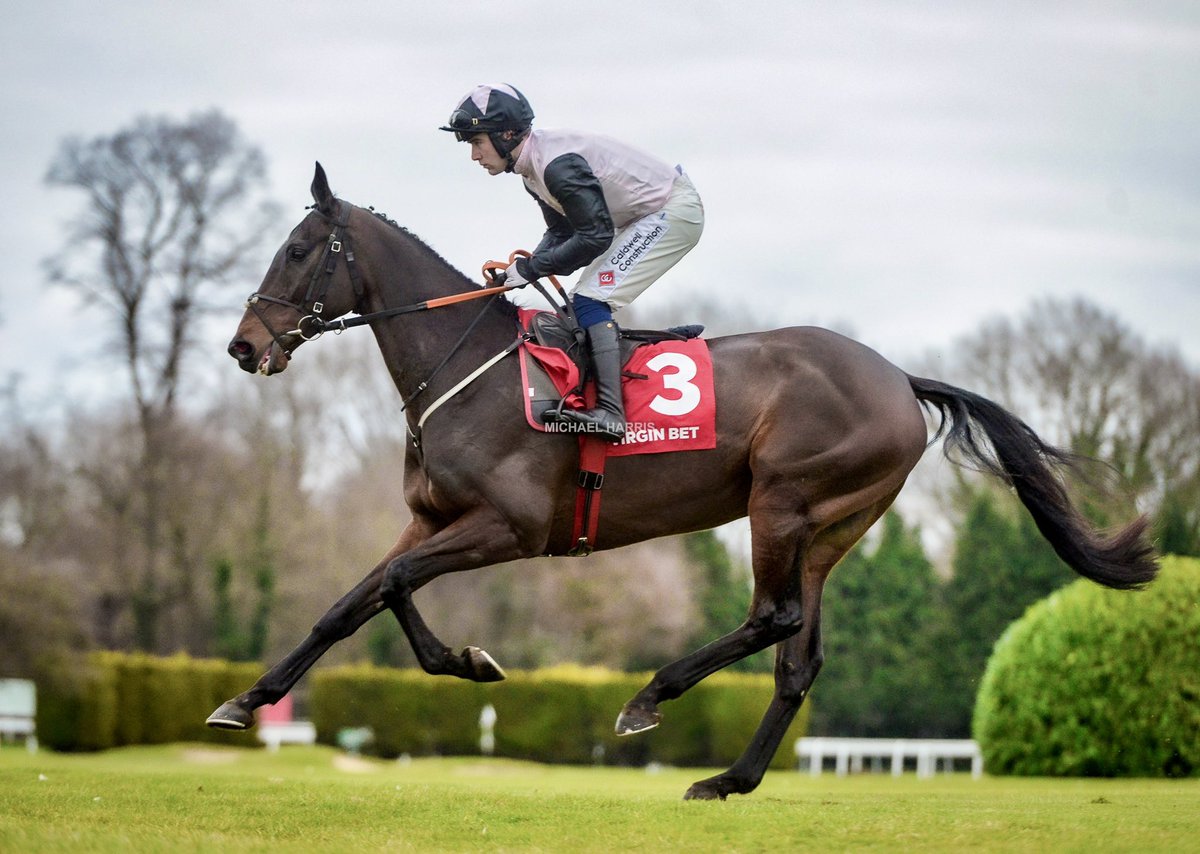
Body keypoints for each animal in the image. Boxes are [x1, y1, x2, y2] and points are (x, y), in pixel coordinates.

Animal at [211, 165, 1156, 801]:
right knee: (799, 659)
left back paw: (649, 698)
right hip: (831, 529)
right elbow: (353, 602)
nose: (244, 346)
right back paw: (731, 778)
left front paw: (468, 662)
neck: (469, 370)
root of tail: (899, 378)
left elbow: (399, 585)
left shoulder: (510, 528)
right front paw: (245, 700)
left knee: (772, 619)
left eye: (299, 249)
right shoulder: (429, 519)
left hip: (782, 502)